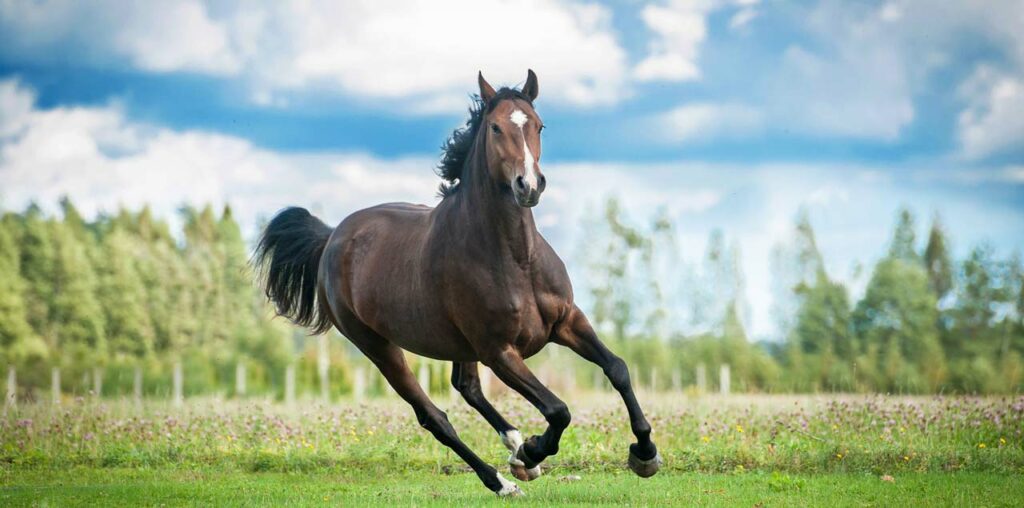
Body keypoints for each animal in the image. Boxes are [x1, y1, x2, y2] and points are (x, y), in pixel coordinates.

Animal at [253, 70, 661, 496]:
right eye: (495, 127)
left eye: (538, 125)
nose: (528, 186)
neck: (516, 259)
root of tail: (332, 237)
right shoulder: (499, 351)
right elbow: (557, 409)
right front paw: (534, 450)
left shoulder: (567, 322)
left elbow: (617, 368)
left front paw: (644, 454)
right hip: (379, 347)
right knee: (434, 417)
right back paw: (504, 478)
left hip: (458, 344)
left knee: (466, 387)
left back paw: (515, 448)